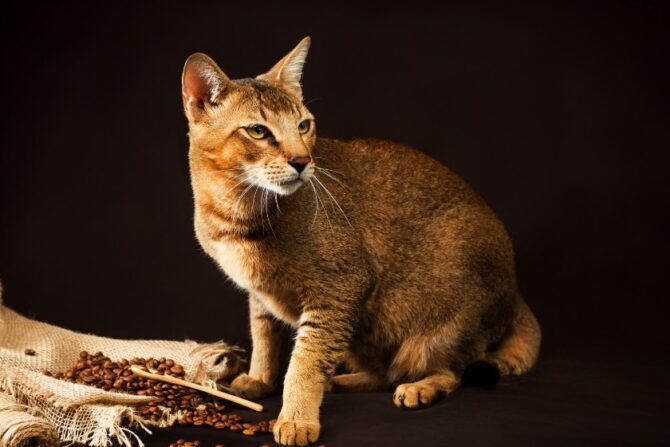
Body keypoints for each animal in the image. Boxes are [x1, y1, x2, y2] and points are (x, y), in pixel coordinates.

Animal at [181, 37, 544, 444]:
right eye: (257, 131)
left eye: (304, 125)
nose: (302, 161)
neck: (234, 215)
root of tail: (517, 293)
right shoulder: (260, 294)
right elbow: (264, 337)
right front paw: (259, 379)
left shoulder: (340, 288)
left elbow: (305, 362)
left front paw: (297, 419)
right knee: (384, 372)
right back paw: (344, 381)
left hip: (441, 324)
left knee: (450, 371)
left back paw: (420, 387)